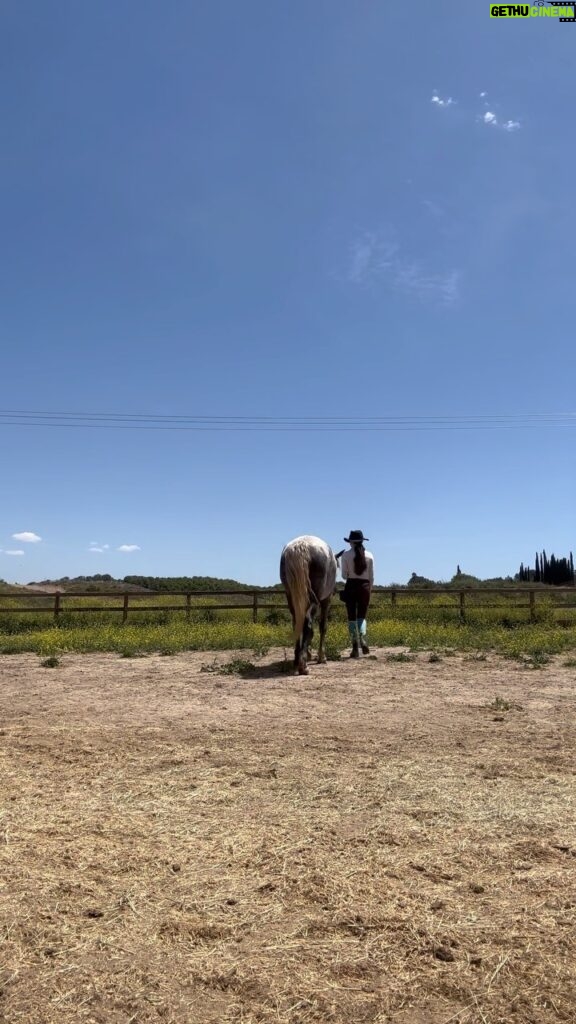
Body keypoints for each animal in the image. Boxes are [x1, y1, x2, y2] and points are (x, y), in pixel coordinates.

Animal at [278, 536, 336, 671]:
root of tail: (301, 545)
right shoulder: (326, 601)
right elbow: (322, 627)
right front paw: (321, 657)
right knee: (308, 623)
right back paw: (303, 664)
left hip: (291, 596)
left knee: (297, 622)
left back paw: (297, 659)